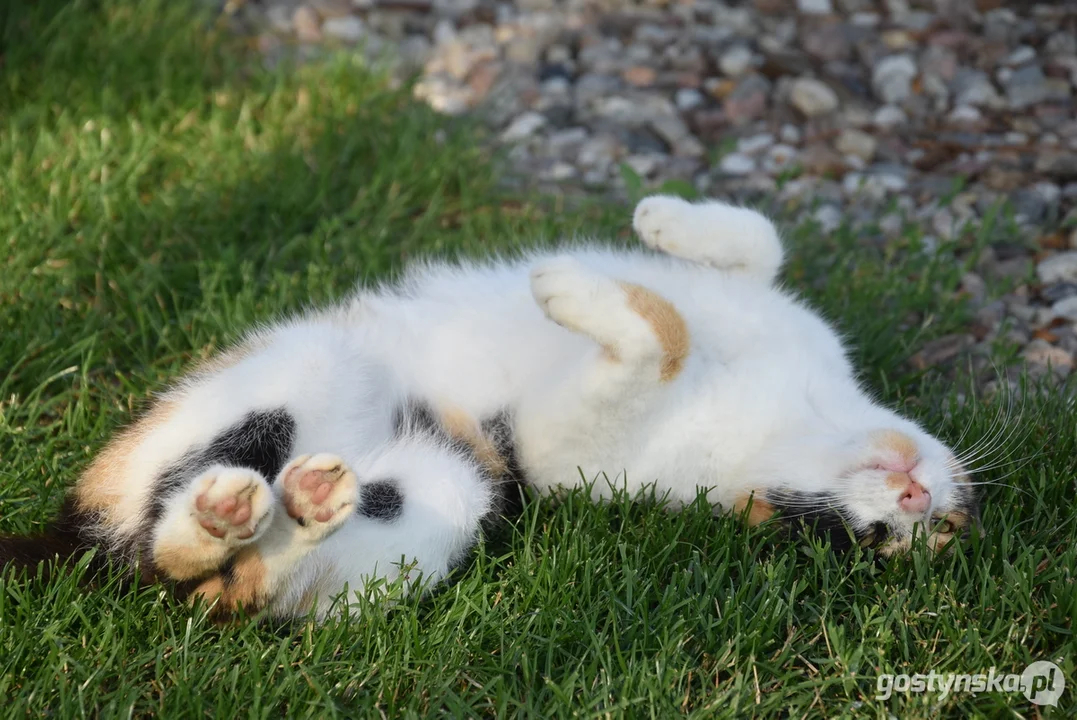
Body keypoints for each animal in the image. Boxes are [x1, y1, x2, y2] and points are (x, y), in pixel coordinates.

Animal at [0, 194, 977, 619]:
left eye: (879, 544)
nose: (913, 502)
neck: (798, 416)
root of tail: (71, 545)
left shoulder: (561, 442)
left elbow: (659, 340)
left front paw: (568, 290)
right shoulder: (771, 303)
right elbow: (754, 244)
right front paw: (659, 218)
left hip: (441, 495)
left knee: (208, 578)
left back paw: (261, 516)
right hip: (299, 374)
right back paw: (248, 506)